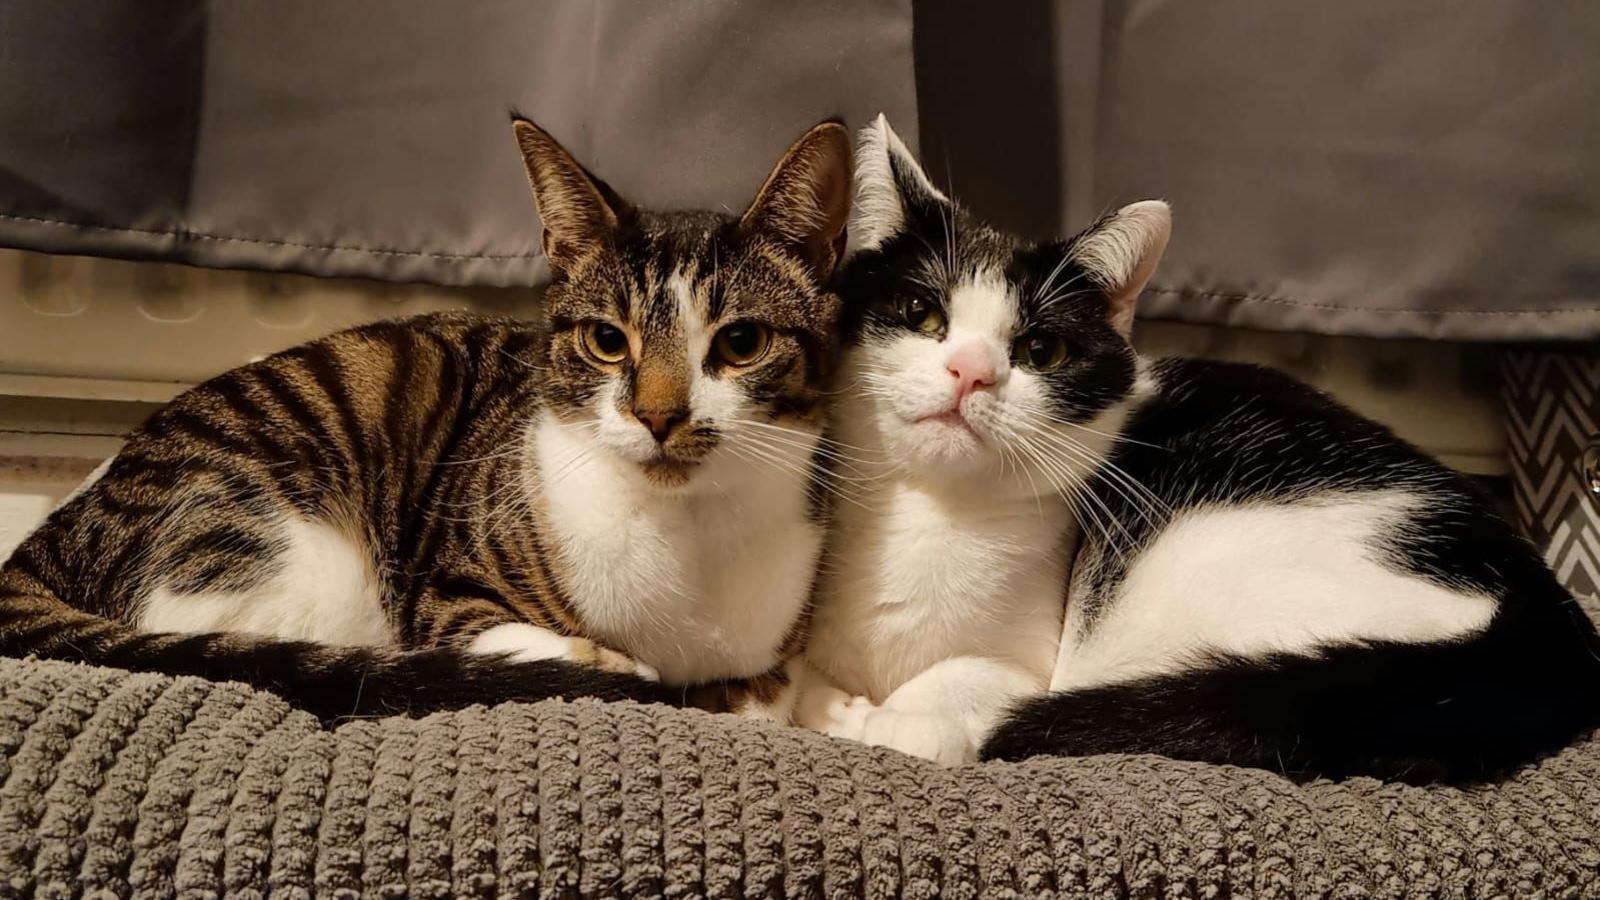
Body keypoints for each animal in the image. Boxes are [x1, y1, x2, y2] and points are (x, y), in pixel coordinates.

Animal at [0, 115, 857, 717]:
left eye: (740, 343)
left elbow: (767, 692)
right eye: (608, 342)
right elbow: (519, 646)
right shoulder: (444, 596)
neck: (685, 535)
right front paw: (609, 663)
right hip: (297, 554)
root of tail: (61, 524)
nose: (658, 415)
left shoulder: (775, 648)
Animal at [800, 117, 1600, 778]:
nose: (971, 371)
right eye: (921, 313)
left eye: (1040, 350)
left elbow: (964, 683)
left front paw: (875, 718)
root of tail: (1546, 615)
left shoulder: (1031, 665)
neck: (930, 515)